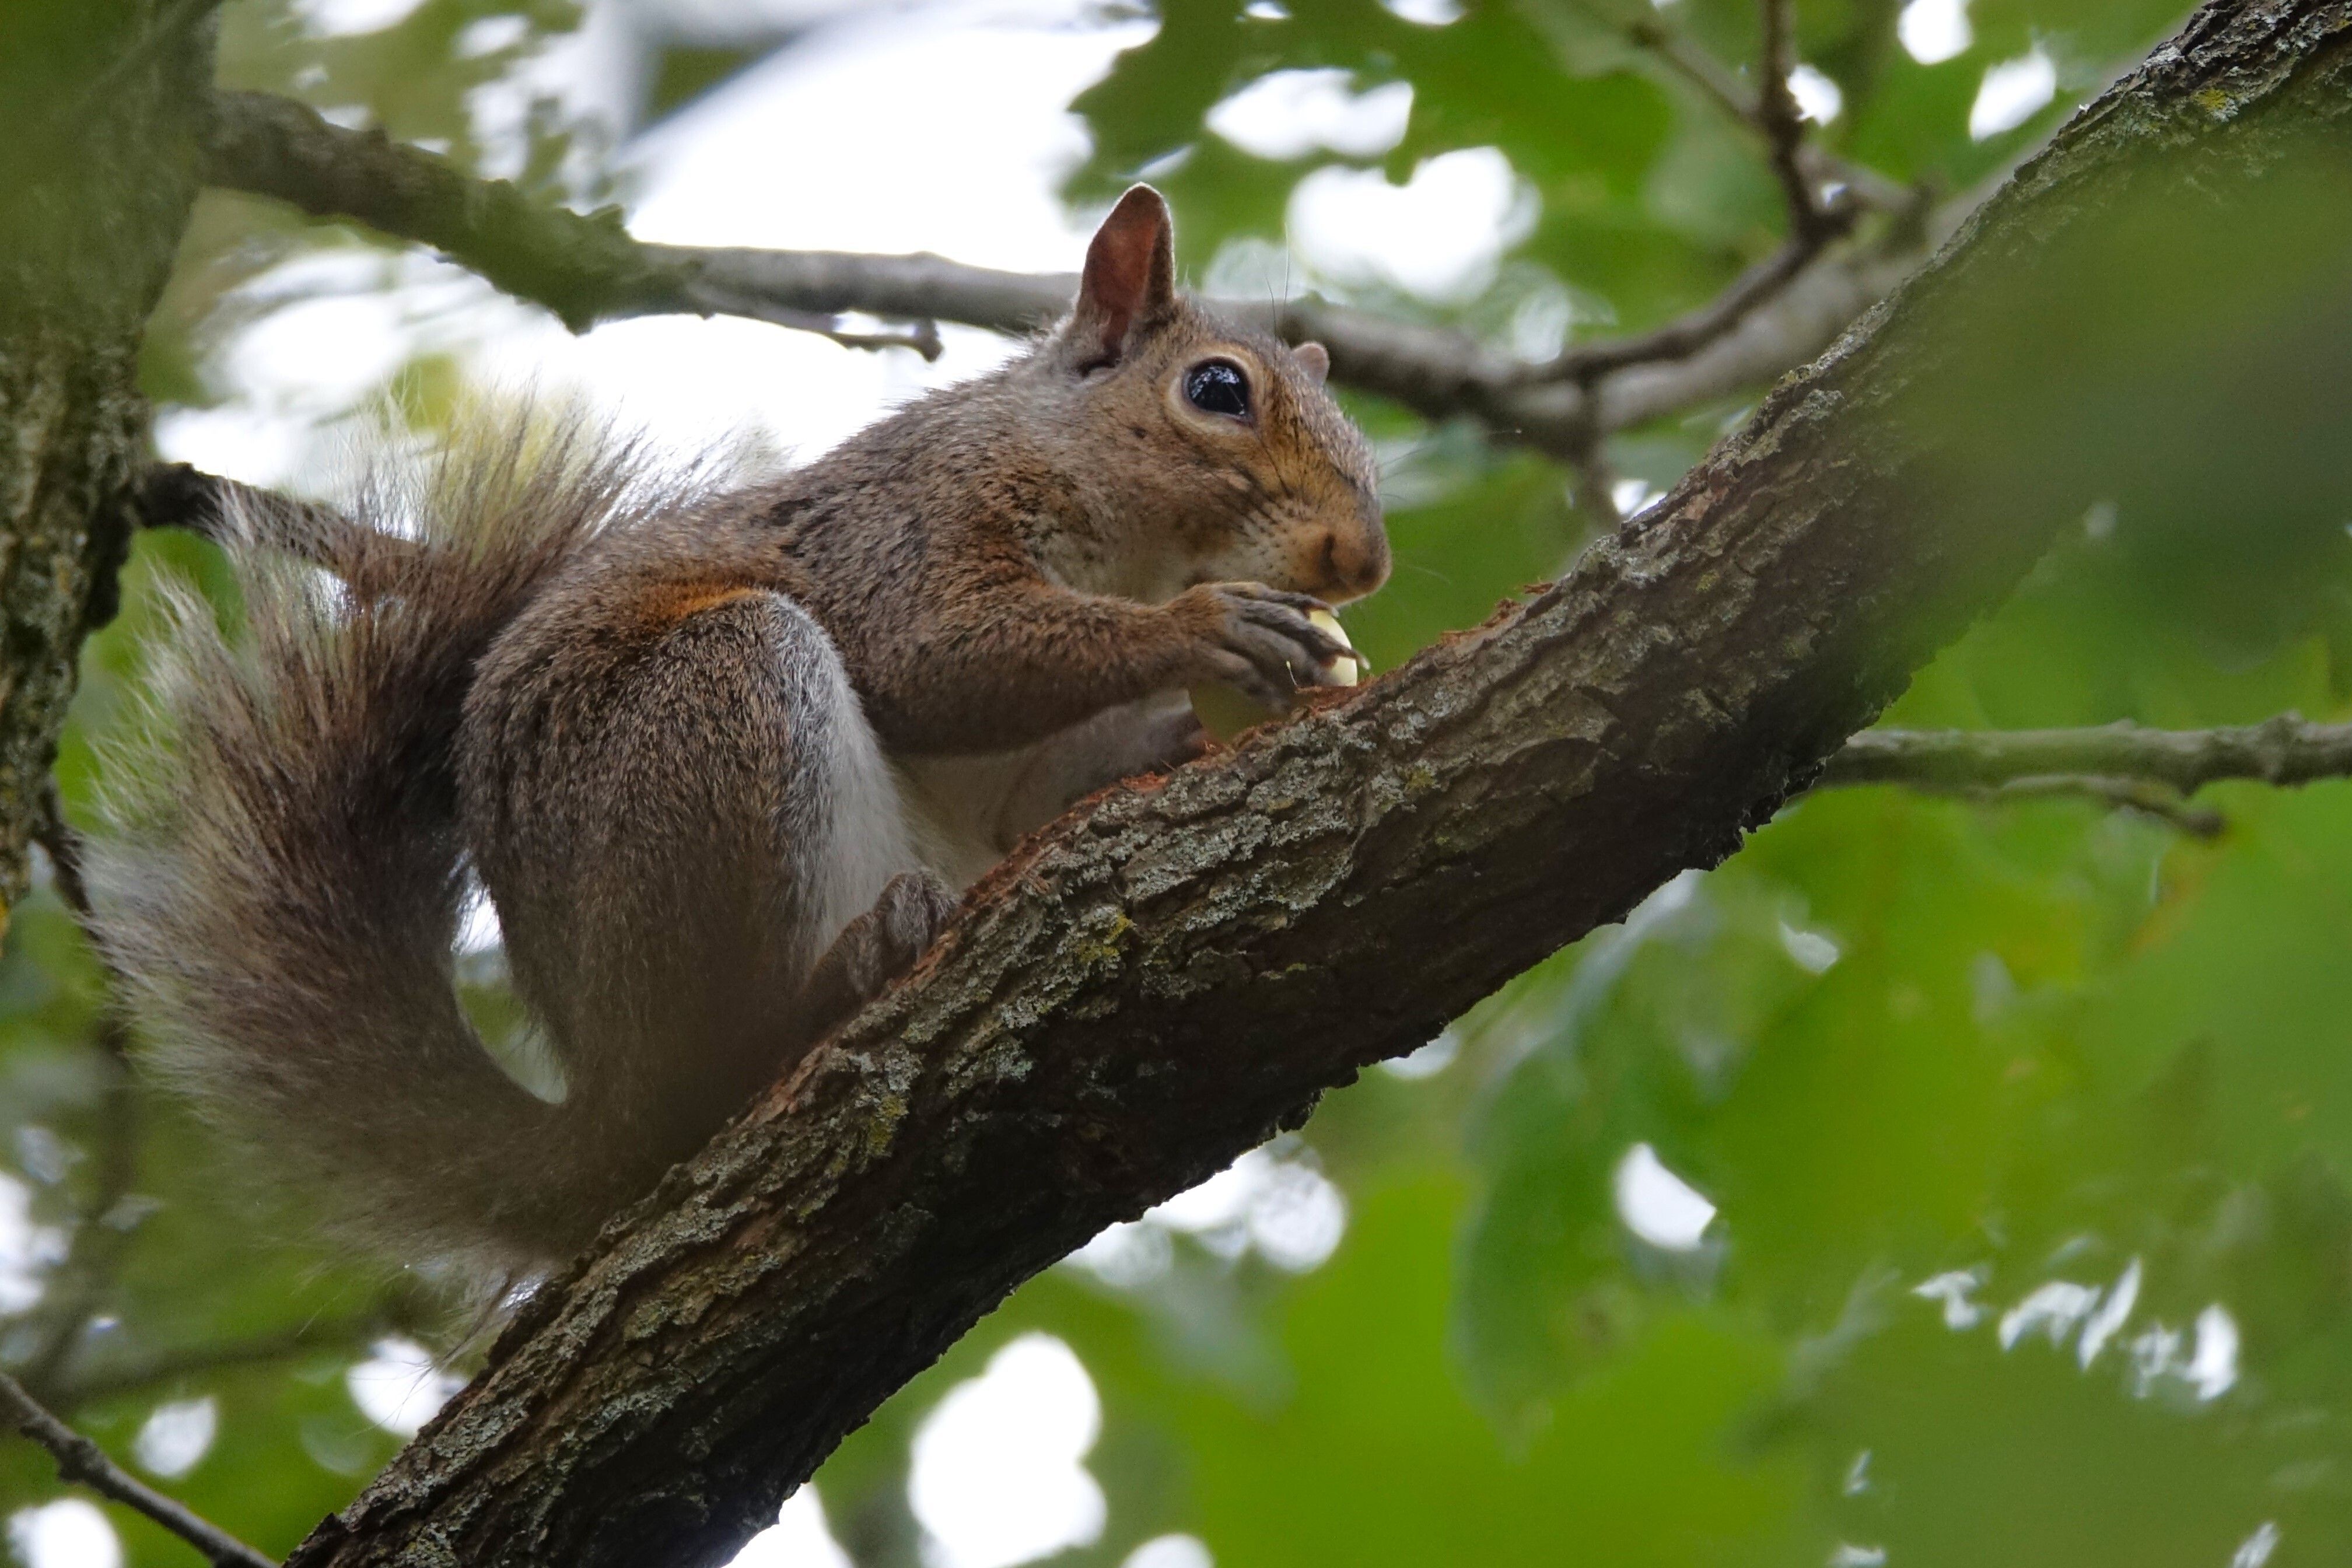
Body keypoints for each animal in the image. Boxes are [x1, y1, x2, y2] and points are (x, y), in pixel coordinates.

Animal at [83, 190, 1382, 1279]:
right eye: (1216, 391)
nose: (1361, 562)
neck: (1129, 546)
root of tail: (603, 1106)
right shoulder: (903, 529)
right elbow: (934, 658)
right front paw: (1206, 631)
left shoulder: (1031, 763)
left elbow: (1040, 788)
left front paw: (1204, 721)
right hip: (723, 712)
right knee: (724, 1063)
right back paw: (844, 971)